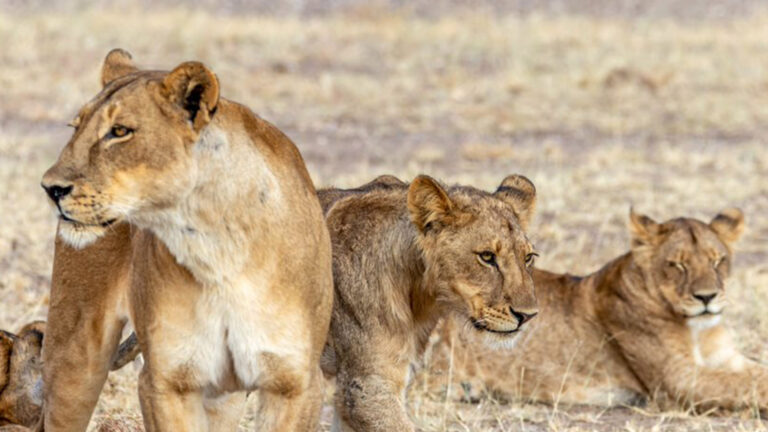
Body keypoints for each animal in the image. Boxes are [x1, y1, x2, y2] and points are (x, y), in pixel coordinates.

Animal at [38, 49, 333, 431]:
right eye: (76, 128)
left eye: (119, 131)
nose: (50, 188)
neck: (219, 248)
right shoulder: (167, 382)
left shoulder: (296, 384)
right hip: (74, 356)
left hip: (225, 397)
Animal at [437, 208, 768, 414]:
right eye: (677, 264)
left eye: (718, 261)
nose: (707, 297)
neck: (697, 329)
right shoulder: (678, 380)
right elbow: (743, 384)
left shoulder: (728, 359)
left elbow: (755, 373)